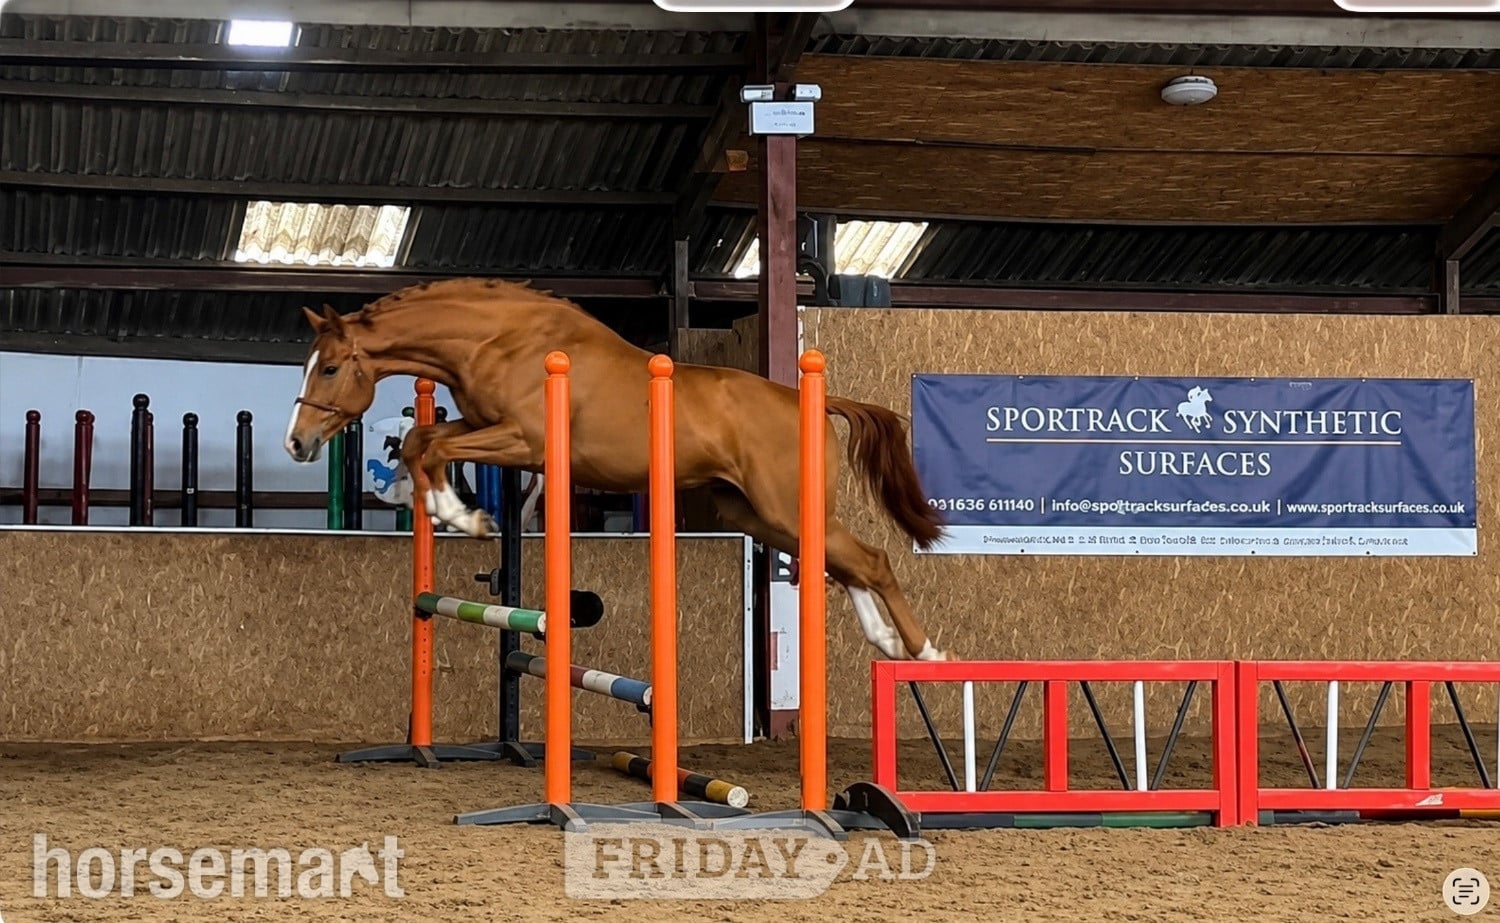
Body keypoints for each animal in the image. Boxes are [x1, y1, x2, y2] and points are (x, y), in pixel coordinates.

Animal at [280, 278, 955, 662]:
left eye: (331, 368)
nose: (296, 442)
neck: (499, 339)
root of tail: (812, 400)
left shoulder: (523, 441)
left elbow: (435, 450)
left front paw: (463, 518)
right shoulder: (480, 424)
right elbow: (423, 440)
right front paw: (431, 503)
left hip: (780, 504)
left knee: (870, 560)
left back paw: (926, 654)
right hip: (755, 512)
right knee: (840, 562)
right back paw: (885, 641)